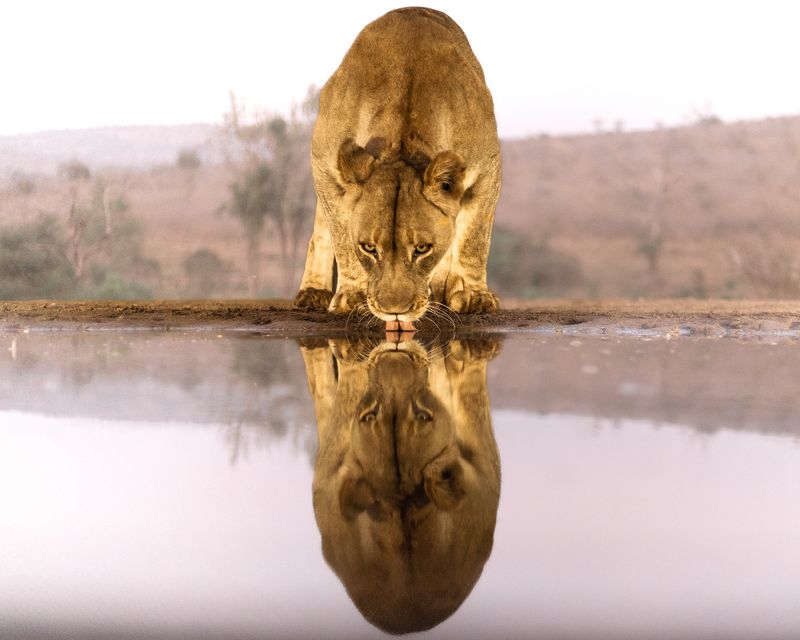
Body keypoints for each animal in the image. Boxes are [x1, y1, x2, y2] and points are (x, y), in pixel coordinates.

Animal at [294, 8, 501, 327]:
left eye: (422, 249)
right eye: (369, 248)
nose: (394, 311)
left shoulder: (487, 168)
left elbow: (474, 240)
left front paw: (475, 297)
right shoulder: (324, 164)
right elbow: (341, 237)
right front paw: (351, 296)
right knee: (320, 232)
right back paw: (312, 292)